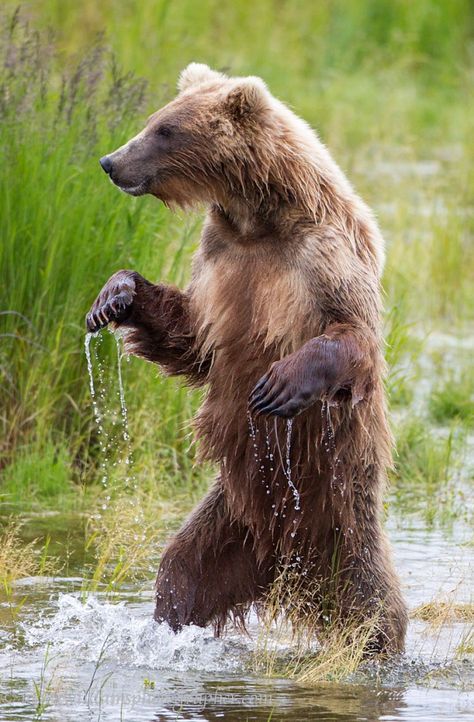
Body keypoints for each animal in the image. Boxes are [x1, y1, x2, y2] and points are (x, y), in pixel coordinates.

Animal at [88, 63, 408, 652]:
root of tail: (284, 551)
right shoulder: (220, 257)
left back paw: (377, 648)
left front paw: (280, 383)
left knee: (371, 601)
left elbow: (353, 334)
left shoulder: (320, 257)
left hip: (339, 509)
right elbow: (194, 339)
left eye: (165, 129)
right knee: (184, 569)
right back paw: (170, 625)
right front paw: (116, 294)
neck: (258, 216)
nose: (111, 161)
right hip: (232, 515)